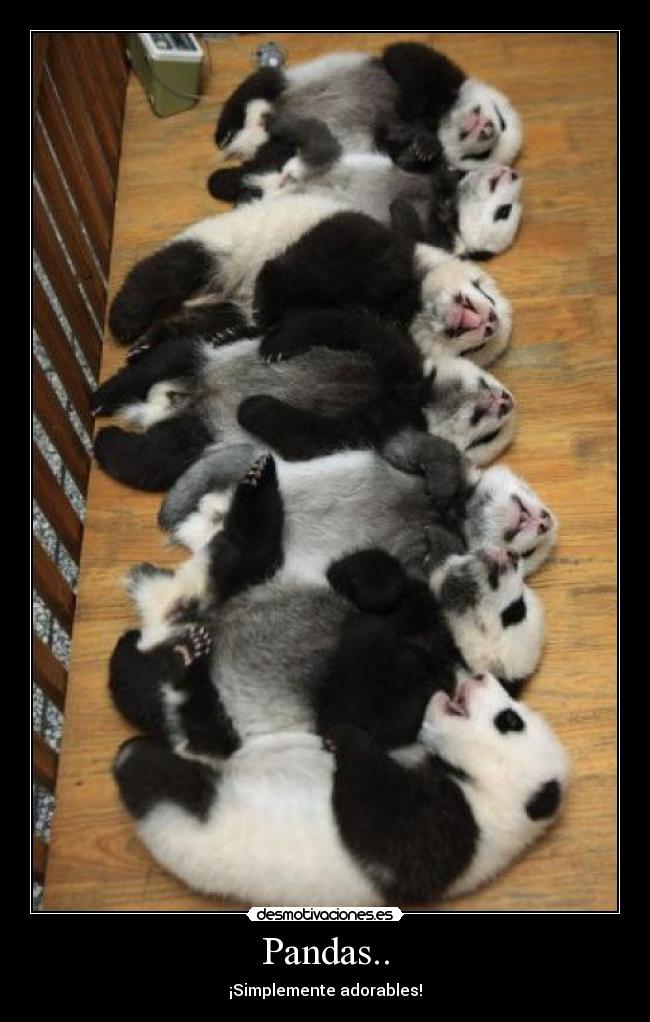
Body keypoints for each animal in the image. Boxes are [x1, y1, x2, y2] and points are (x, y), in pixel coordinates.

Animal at [91, 310, 516, 493]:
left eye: (485, 437)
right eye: (484, 381)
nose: (506, 402)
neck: (418, 398)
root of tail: (178, 399)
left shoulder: (372, 430)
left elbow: (307, 435)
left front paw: (252, 407)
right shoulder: (398, 356)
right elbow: (344, 324)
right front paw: (279, 345)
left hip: (201, 432)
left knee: (157, 458)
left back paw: (106, 437)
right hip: (205, 357)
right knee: (166, 357)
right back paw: (104, 396)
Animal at [107, 192, 512, 369]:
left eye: (475, 351)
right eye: (483, 289)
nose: (490, 321)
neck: (411, 303)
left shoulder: (372, 323)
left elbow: (324, 323)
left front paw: (277, 341)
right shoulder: (362, 244)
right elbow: (298, 270)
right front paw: (269, 305)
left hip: (220, 303)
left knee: (204, 323)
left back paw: (169, 341)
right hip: (225, 246)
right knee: (171, 268)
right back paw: (126, 322)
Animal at [112, 670, 568, 906]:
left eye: (509, 720)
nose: (480, 675)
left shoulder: (456, 836)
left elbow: (380, 825)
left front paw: (346, 737)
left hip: (192, 816)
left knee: (161, 776)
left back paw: (135, 756)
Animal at [212, 44, 522, 178]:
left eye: (481, 156)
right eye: (502, 119)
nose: (488, 128)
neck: (441, 123)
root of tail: (257, 129)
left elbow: (402, 157)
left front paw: (423, 147)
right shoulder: (441, 77)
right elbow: (407, 58)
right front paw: (418, 127)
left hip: (284, 144)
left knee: (270, 157)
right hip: (295, 78)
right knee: (257, 85)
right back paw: (224, 132)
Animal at [216, 114, 523, 260]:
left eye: (504, 212)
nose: (512, 174)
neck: (447, 204)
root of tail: (275, 188)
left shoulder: (439, 241)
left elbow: (409, 237)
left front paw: (400, 207)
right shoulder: (432, 176)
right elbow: (411, 161)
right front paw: (424, 147)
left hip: (311, 165)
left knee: (320, 144)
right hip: (320, 161)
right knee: (315, 138)